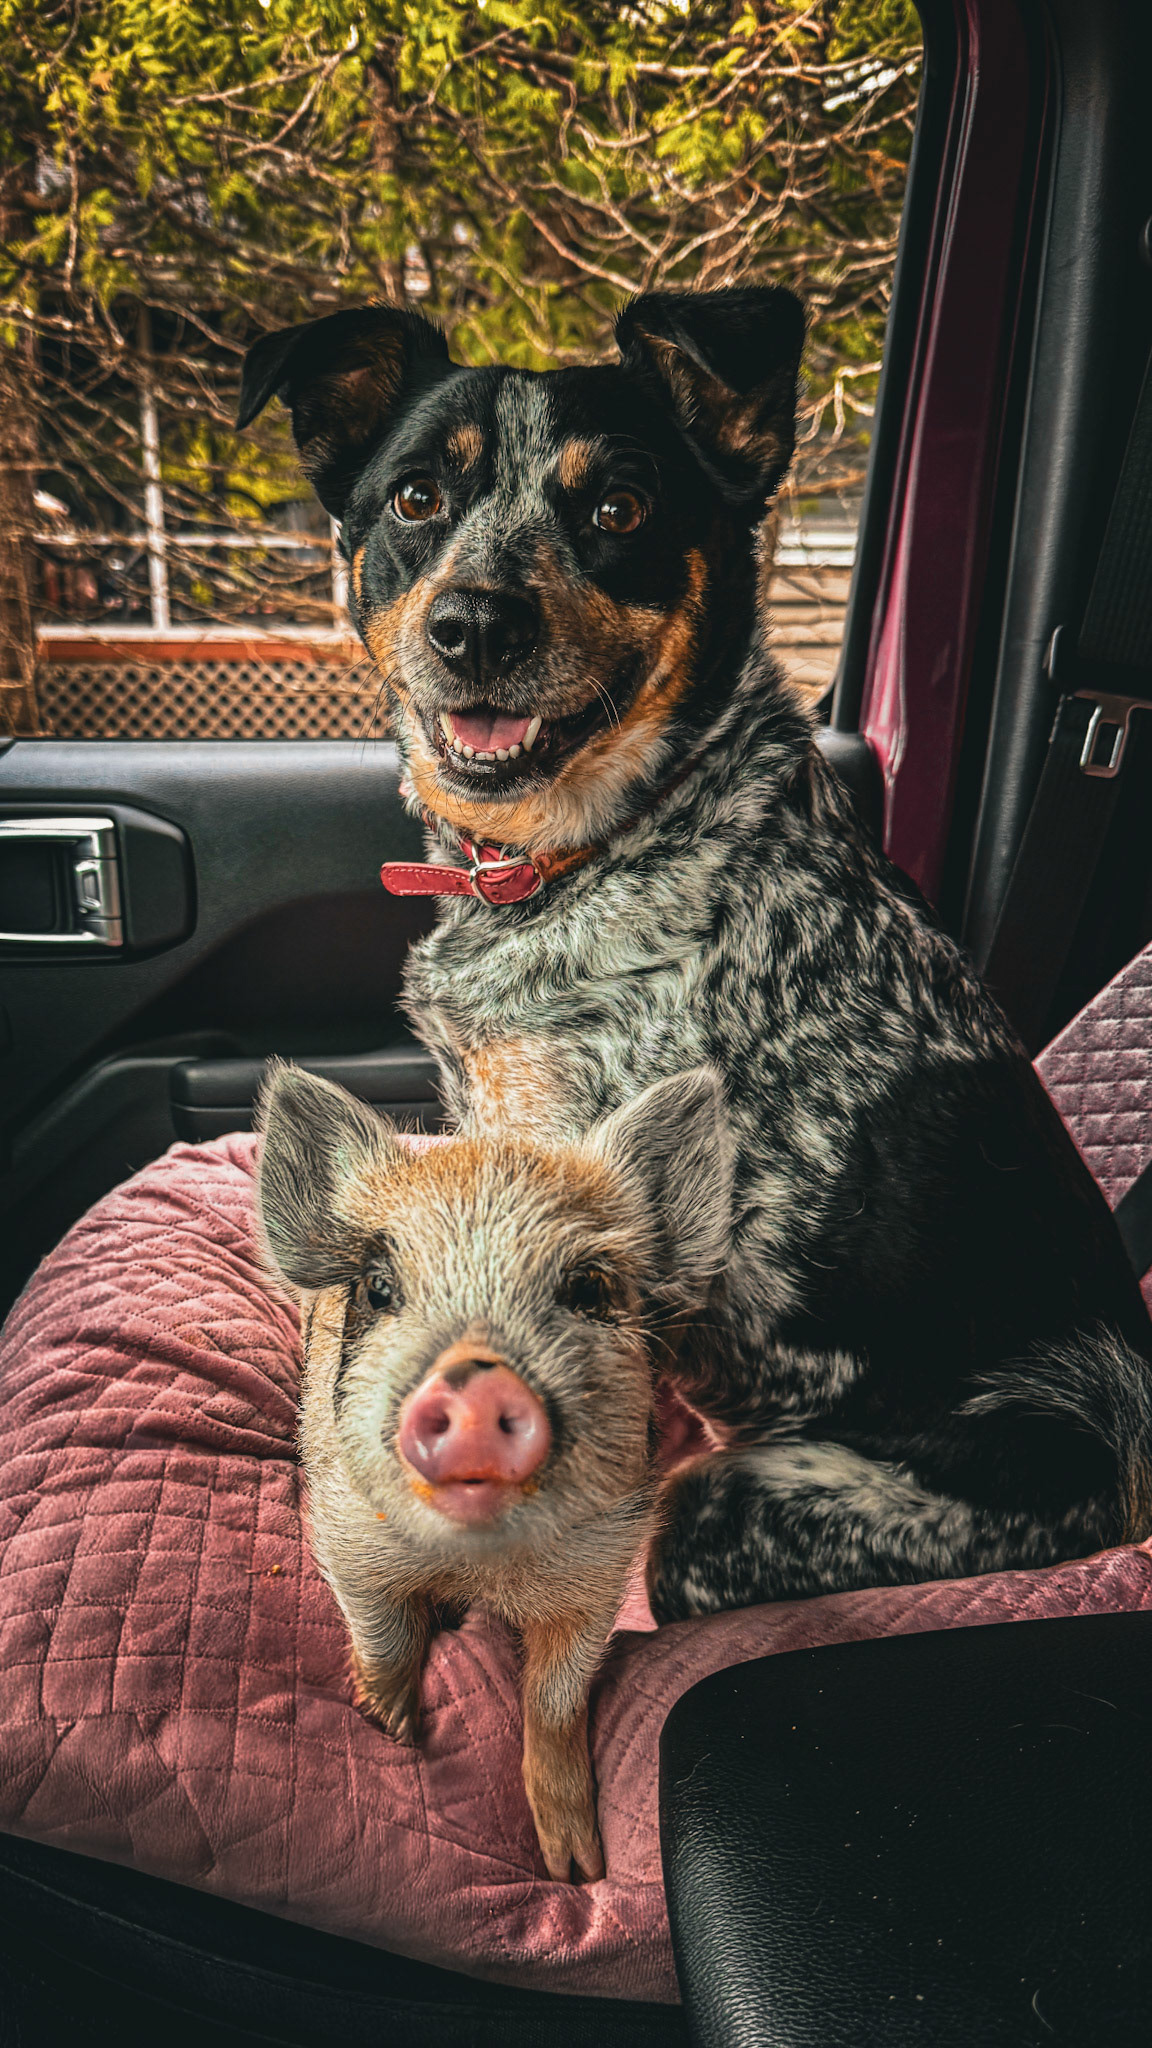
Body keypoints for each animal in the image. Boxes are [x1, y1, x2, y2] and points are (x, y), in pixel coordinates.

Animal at [255, 1059, 732, 1881]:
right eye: (378, 1288)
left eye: (587, 1288)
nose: (476, 1388)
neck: (481, 1567)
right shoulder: (348, 1537)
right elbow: (385, 1642)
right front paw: (392, 1731)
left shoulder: (600, 1576)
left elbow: (555, 1700)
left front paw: (576, 1869)